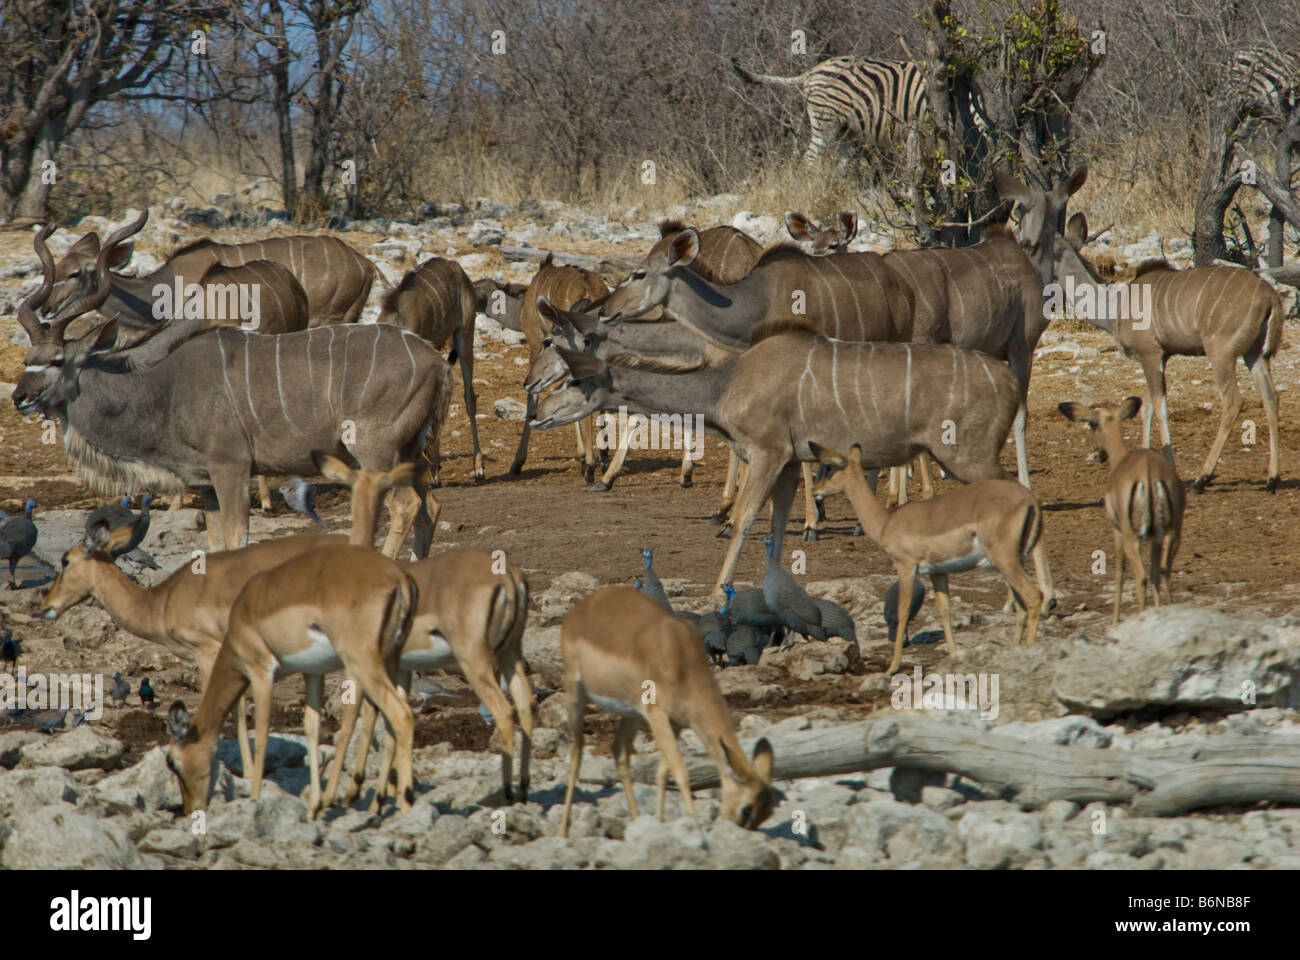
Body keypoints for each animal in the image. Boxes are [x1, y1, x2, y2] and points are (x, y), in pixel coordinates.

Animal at [12, 209, 452, 554]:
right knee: (430, 507)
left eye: (56, 361)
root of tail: (435, 359)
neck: (163, 386)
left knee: (406, 507)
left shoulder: (232, 468)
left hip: (375, 452)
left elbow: (238, 540)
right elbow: (216, 543)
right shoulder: (206, 485)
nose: (20, 397)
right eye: (27, 360)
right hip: (408, 451)